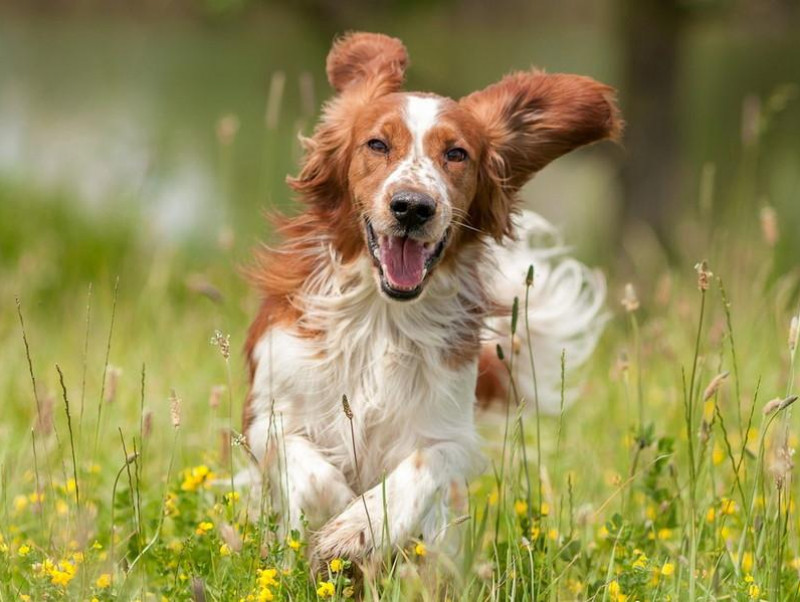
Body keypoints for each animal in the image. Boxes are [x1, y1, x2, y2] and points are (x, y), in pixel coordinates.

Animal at [241, 30, 616, 560]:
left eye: (456, 153)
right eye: (377, 144)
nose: (413, 207)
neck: (382, 315)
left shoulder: (451, 432)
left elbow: (421, 467)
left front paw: (358, 527)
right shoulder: (267, 411)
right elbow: (311, 473)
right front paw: (333, 516)